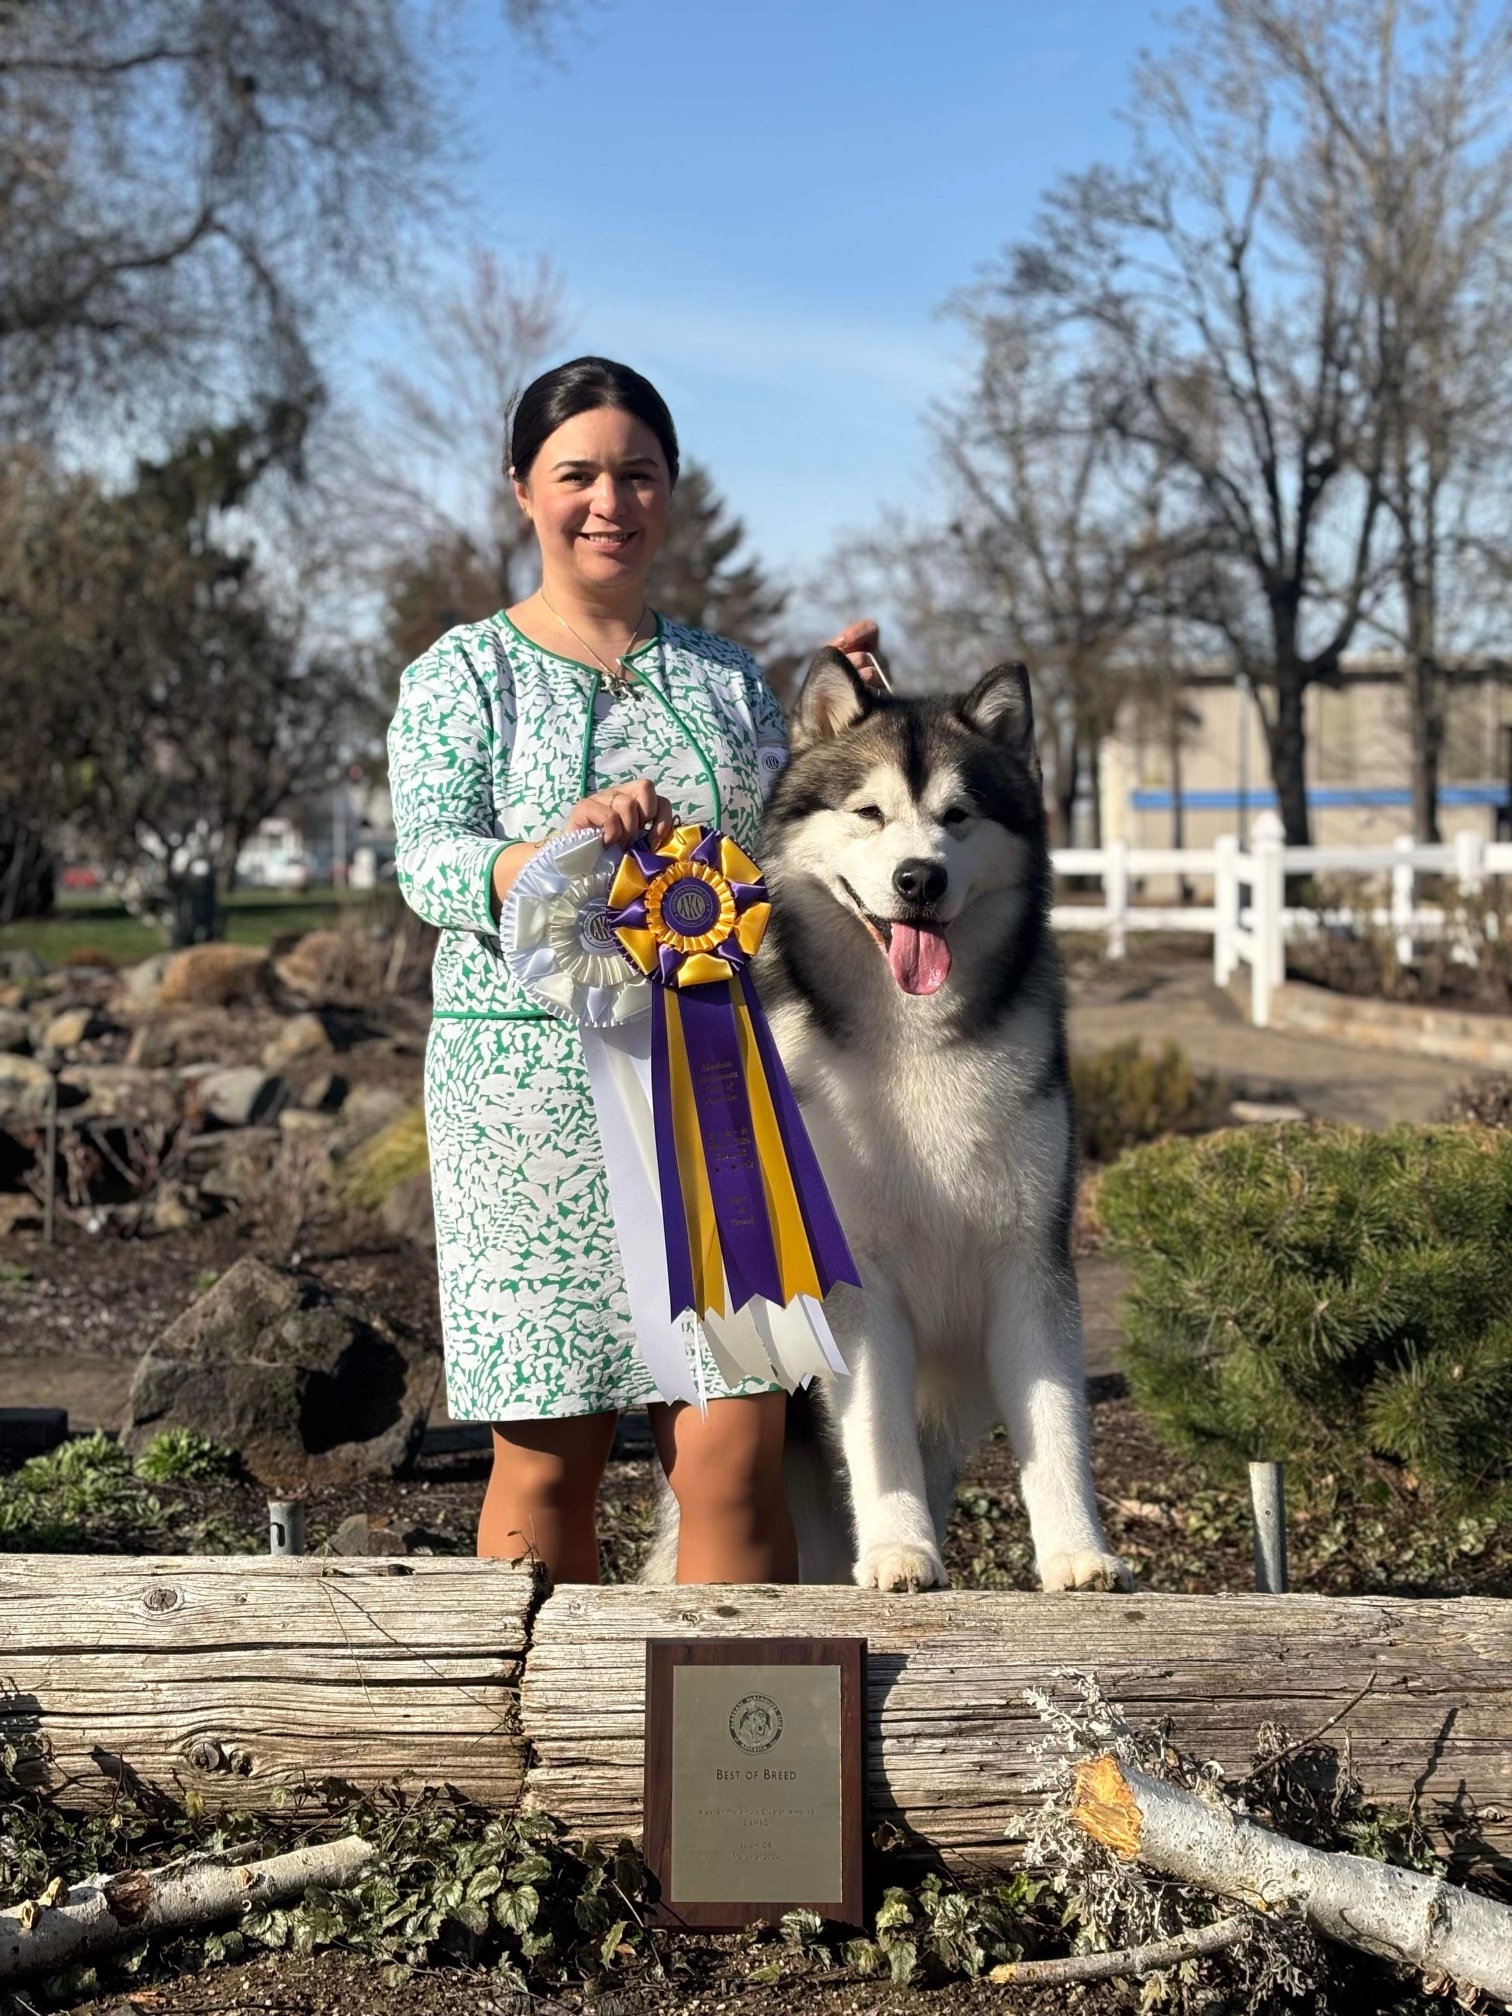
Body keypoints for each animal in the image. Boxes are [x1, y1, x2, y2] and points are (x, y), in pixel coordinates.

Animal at [643, 649, 1128, 1594]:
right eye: (868, 812)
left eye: (957, 815)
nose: (919, 879)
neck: (915, 1040)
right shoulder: (855, 1276)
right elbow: (876, 1431)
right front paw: (902, 1548)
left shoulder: (1029, 1261)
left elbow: (1056, 1426)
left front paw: (1075, 1553)